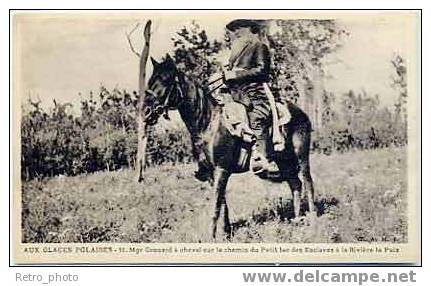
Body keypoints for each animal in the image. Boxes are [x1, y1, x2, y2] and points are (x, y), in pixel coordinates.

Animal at [143, 54, 316, 238]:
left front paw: (211, 237)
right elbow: (222, 204)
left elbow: (215, 206)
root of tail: (301, 113)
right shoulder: (212, 174)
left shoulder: (221, 170)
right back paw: (296, 221)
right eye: (151, 80)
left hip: (301, 157)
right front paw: (225, 234)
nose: (146, 112)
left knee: (308, 183)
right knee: (295, 184)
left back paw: (313, 221)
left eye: (166, 79)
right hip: (284, 161)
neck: (208, 122)